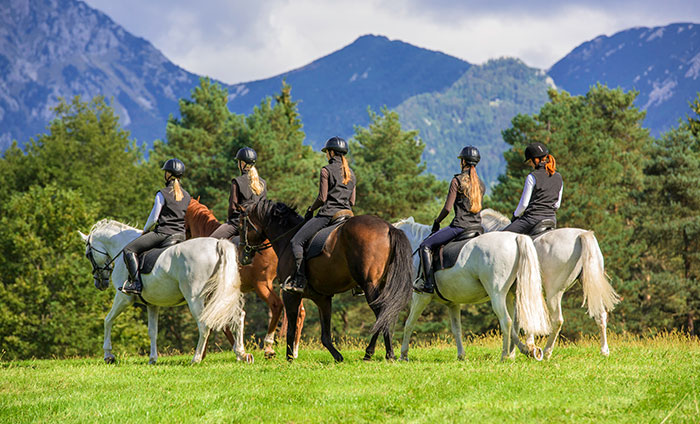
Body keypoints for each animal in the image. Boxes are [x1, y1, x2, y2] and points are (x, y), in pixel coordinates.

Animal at [80, 219, 249, 364]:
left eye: (88, 255)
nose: (99, 283)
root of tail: (217, 244)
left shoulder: (123, 298)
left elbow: (107, 320)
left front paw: (108, 355)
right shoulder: (152, 304)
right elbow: (152, 331)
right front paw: (152, 359)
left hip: (195, 298)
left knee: (204, 324)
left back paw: (196, 359)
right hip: (221, 295)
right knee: (238, 317)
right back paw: (241, 354)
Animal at [185, 198, 304, 358]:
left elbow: (217, 321)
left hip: (262, 285)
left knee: (276, 305)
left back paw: (269, 346)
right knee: (299, 312)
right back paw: (294, 349)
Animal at [241, 199, 416, 362]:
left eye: (243, 224)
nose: (244, 253)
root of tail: (389, 228)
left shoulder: (290, 295)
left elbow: (291, 328)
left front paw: (289, 358)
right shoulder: (322, 298)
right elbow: (325, 335)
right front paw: (337, 356)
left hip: (369, 285)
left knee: (381, 314)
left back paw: (378, 353)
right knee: (385, 312)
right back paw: (379, 353)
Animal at [396, 219, 548, 362]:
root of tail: (516, 237)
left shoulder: (420, 297)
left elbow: (409, 324)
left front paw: (403, 355)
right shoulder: (453, 303)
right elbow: (456, 329)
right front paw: (461, 355)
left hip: (497, 295)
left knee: (506, 321)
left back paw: (505, 355)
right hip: (511, 295)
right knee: (518, 322)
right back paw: (516, 353)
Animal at [478, 209, 620, 358]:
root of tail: (581, 234)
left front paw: (521, 349)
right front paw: (527, 347)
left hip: (554, 293)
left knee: (557, 320)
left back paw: (546, 352)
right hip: (592, 285)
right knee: (601, 315)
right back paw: (604, 351)